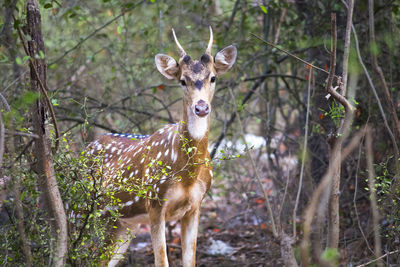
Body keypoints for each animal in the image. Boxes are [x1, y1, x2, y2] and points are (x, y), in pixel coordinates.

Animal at [88, 27, 234, 267]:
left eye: (213, 77)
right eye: (182, 80)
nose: (201, 107)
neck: (187, 176)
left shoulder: (195, 206)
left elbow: (190, 261)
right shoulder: (154, 202)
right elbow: (161, 261)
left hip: (122, 224)